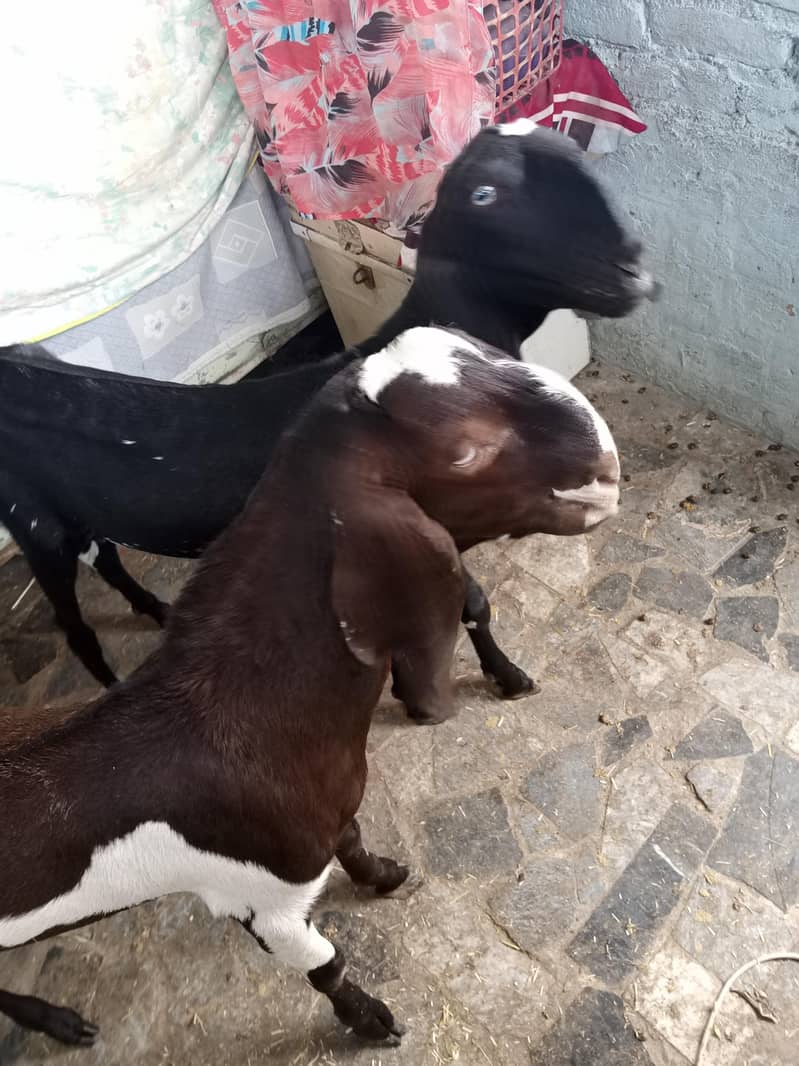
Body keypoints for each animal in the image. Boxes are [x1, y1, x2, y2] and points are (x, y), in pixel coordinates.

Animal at [0, 121, 655, 708]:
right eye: (485, 195)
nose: (634, 273)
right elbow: (472, 605)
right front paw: (509, 679)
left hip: (77, 513)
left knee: (107, 558)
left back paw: (155, 609)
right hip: (33, 527)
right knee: (74, 626)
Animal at [0, 326, 621, 1049]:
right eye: (466, 450)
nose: (606, 472)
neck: (241, 719)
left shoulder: (331, 811)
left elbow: (350, 840)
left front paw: (383, 876)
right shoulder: (261, 900)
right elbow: (327, 966)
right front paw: (371, 1021)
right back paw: (56, 1021)